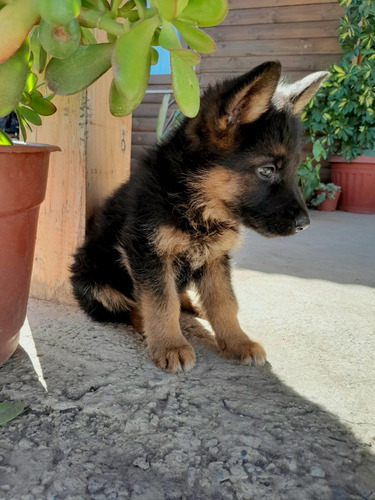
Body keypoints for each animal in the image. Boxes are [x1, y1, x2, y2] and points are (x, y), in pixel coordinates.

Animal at [71, 61, 328, 372]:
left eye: (293, 169)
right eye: (267, 170)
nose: (305, 224)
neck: (194, 203)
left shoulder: (215, 258)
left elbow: (224, 303)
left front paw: (237, 341)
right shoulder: (147, 252)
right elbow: (161, 302)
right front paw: (170, 344)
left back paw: (190, 303)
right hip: (94, 282)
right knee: (128, 306)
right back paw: (146, 323)